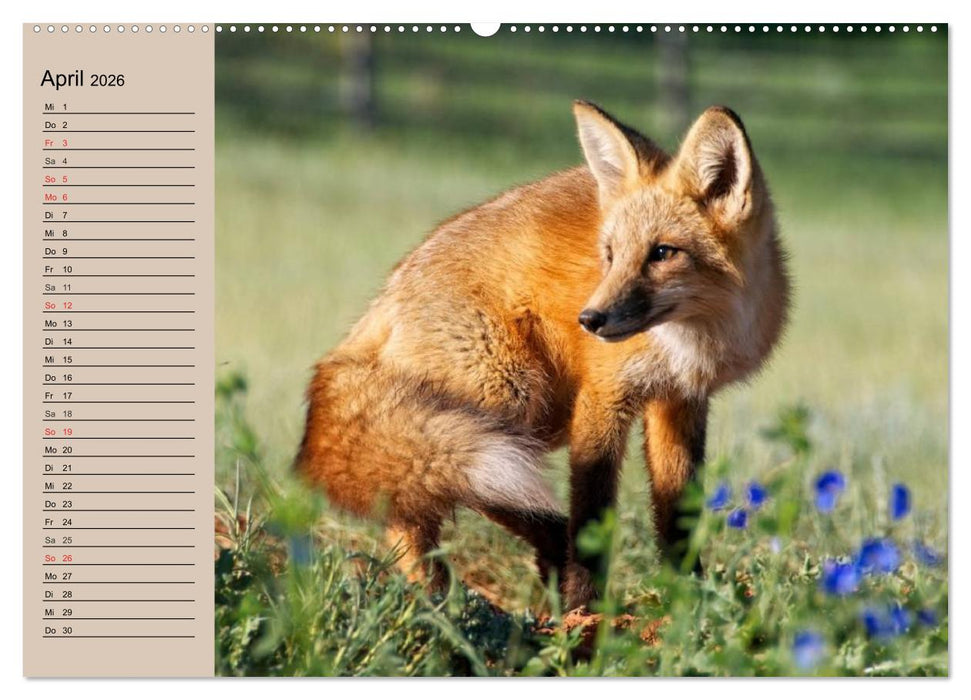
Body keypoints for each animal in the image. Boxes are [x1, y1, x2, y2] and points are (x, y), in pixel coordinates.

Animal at [296, 101, 790, 609]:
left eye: (663, 253)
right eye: (610, 254)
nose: (590, 320)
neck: (691, 341)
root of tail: (382, 301)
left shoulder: (680, 401)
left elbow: (679, 518)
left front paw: (689, 600)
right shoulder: (602, 397)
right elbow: (593, 513)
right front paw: (585, 613)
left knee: (413, 500)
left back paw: (450, 597)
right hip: (510, 402)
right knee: (429, 495)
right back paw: (456, 599)